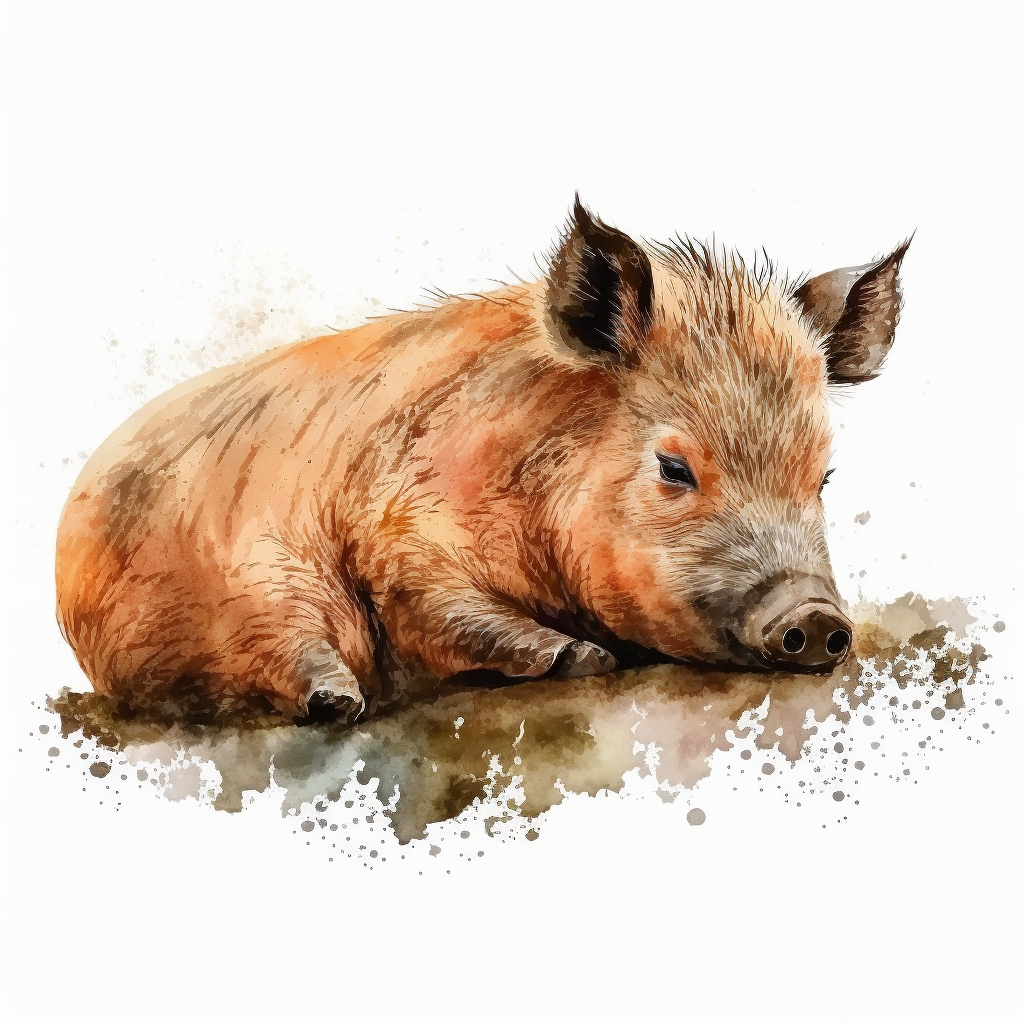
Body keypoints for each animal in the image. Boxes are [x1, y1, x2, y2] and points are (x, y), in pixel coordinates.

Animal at [55, 198, 909, 721]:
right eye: (675, 468)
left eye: (824, 474)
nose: (817, 618)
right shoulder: (397, 531)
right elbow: (432, 605)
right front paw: (583, 659)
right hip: (247, 570)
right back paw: (341, 703)